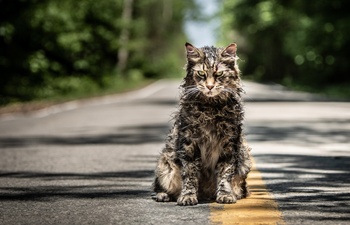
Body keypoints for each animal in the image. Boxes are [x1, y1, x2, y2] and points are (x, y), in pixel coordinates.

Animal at [153, 41, 252, 206]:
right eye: (201, 74)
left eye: (219, 74)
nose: (209, 86)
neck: (211, 108)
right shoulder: (189, 143)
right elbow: (190, 174)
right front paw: (188, 196)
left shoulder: (229, 143)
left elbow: (225, 173)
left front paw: (225, 194)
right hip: (165, 164)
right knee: (160, 186)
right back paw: (163, 195)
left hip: (244, 159)